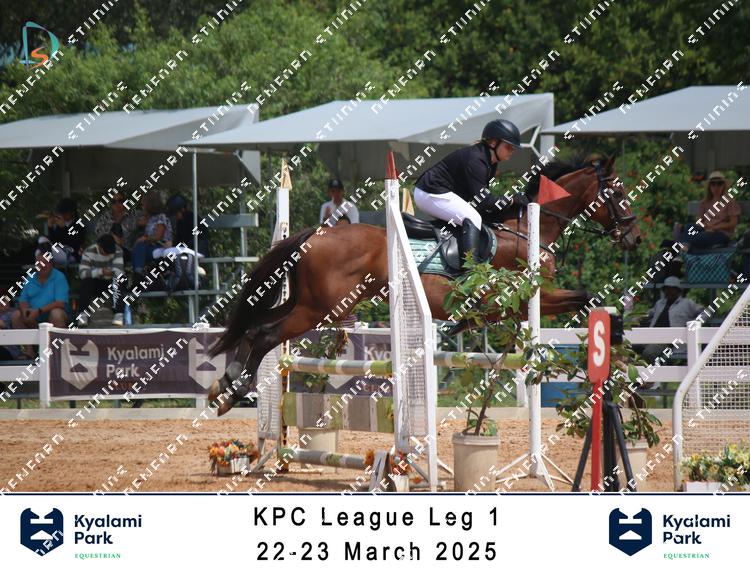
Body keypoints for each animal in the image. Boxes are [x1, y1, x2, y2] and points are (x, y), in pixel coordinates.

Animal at [207, 155, 641, 415]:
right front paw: (619, 349)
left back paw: (224, 386)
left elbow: (579, 302)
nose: (634, 238)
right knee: (266, 333)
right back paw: (234, 390)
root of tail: (317, 233)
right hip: (319, 309)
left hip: (307, 302)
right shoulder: (525, 298)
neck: (525, 230)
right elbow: (585, 297)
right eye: (619, 192)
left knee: (255, 326)